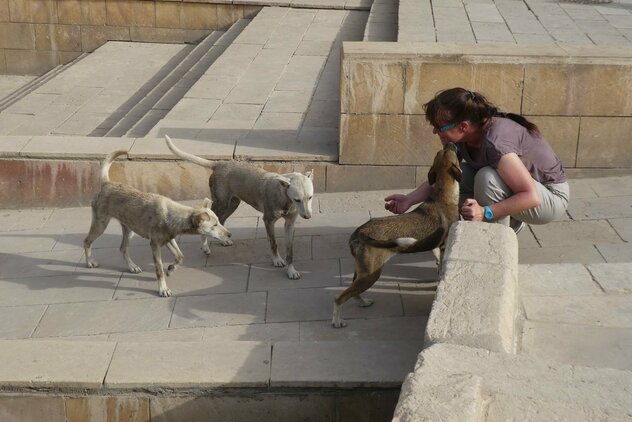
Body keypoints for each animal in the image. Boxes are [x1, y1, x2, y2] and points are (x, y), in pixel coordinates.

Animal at [82, 150, 232, 296]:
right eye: (214, 225)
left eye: (219, 222)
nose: (229, 235)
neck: (172, 215)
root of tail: (106, 184)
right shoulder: (154, 245)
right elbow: (159, 269)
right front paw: (163, 289)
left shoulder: (169, 240)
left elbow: (180, 256)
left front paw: (171, 269)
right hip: (100, 224)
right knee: (87, 241)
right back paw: (90, 262)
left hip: (129, 229)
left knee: (122, 248)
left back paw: (132, 267)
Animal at [334, 143, 462, 328]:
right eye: (451, 152)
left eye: (443, 151)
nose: (450, 143)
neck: (442, 194)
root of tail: (360, 232)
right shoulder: (445, 245)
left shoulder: (437, 246)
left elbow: (437, 261)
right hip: (371, 274)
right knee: (339, 298)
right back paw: (337, 321)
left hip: (362, 270)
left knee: (353, 292)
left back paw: (363, 302)